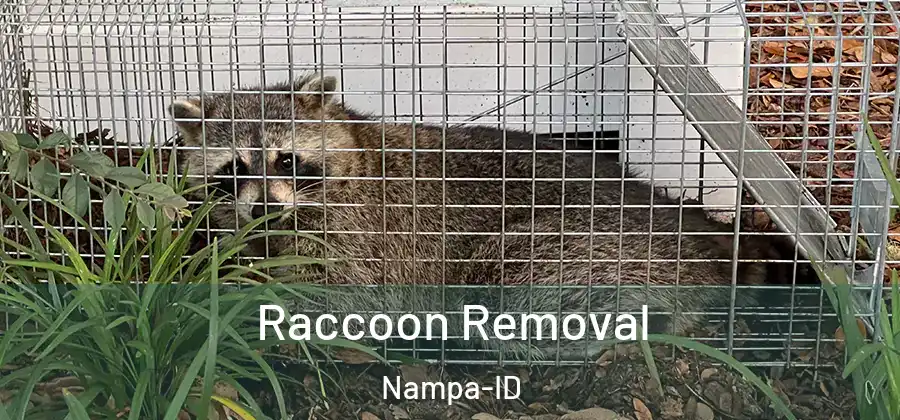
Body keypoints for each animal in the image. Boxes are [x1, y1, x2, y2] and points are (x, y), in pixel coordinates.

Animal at [168, 73, 801, 359]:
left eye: (287, 159)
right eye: (233, 168)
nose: (265, 206)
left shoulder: (365, 234)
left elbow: (342, 295)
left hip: (577, 244)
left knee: (512, 285)